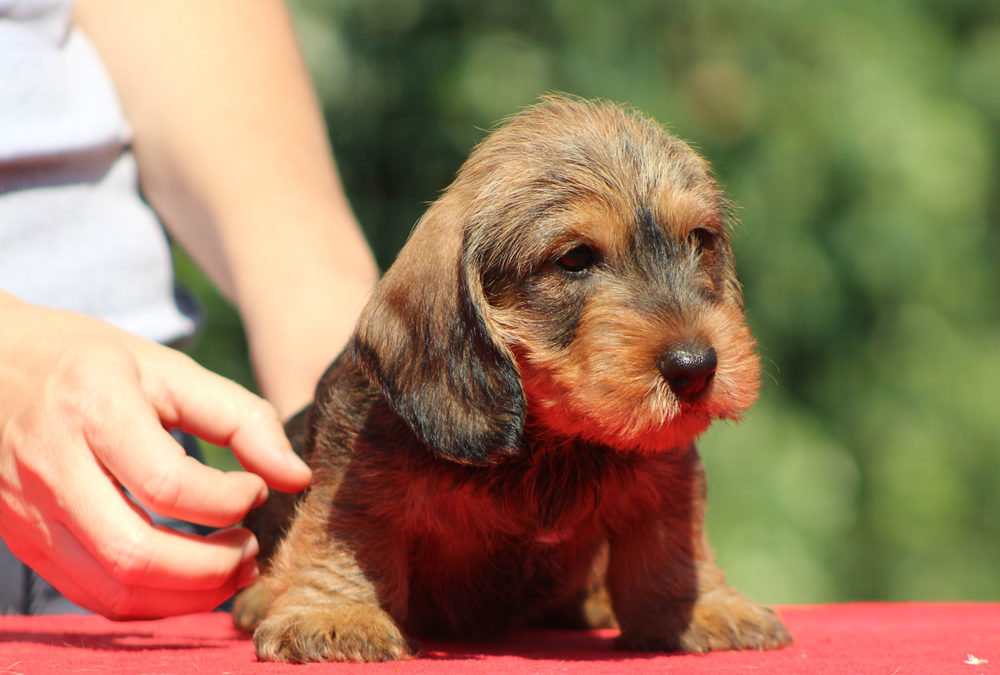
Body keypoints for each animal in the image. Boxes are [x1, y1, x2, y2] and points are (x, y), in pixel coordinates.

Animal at [232, 96, 788, 664]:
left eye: (700, 240)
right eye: (574, 258)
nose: (695, 367)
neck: (552, 442)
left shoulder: (666, 480)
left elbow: (672, 549)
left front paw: (702, 606)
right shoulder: (357, 478)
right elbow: (344, 538)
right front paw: (334, 613)